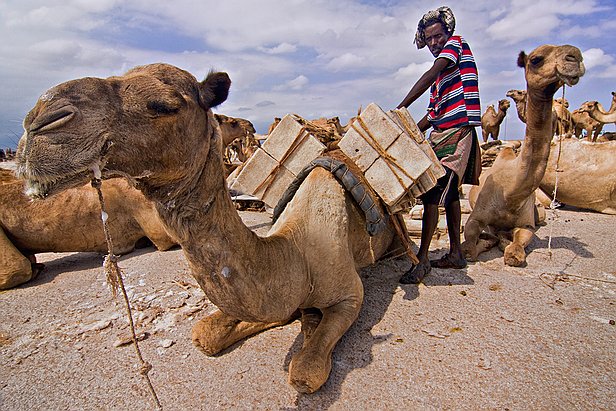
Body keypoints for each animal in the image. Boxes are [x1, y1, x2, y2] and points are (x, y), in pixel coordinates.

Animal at [462, 45, 588, 268]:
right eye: (536, 59)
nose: (574, 56)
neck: (510, 192)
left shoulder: (527, 224)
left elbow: (516, 251)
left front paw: (506, 244)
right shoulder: (476, 217)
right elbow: (469, 245)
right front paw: (485, 243)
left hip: (541, 212)